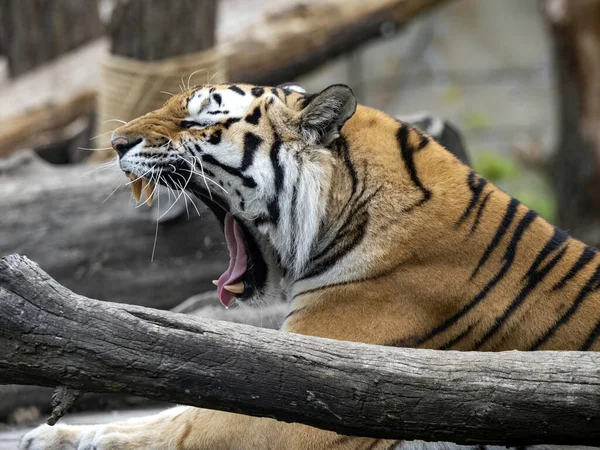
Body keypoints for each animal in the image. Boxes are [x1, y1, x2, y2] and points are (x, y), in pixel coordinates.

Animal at [19, 81, 600, 450]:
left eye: (200, 117)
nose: (116, 143)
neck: (350, 211)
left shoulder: (317, 397)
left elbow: (182, 428)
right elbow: (170, 412)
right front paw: (51, 436)